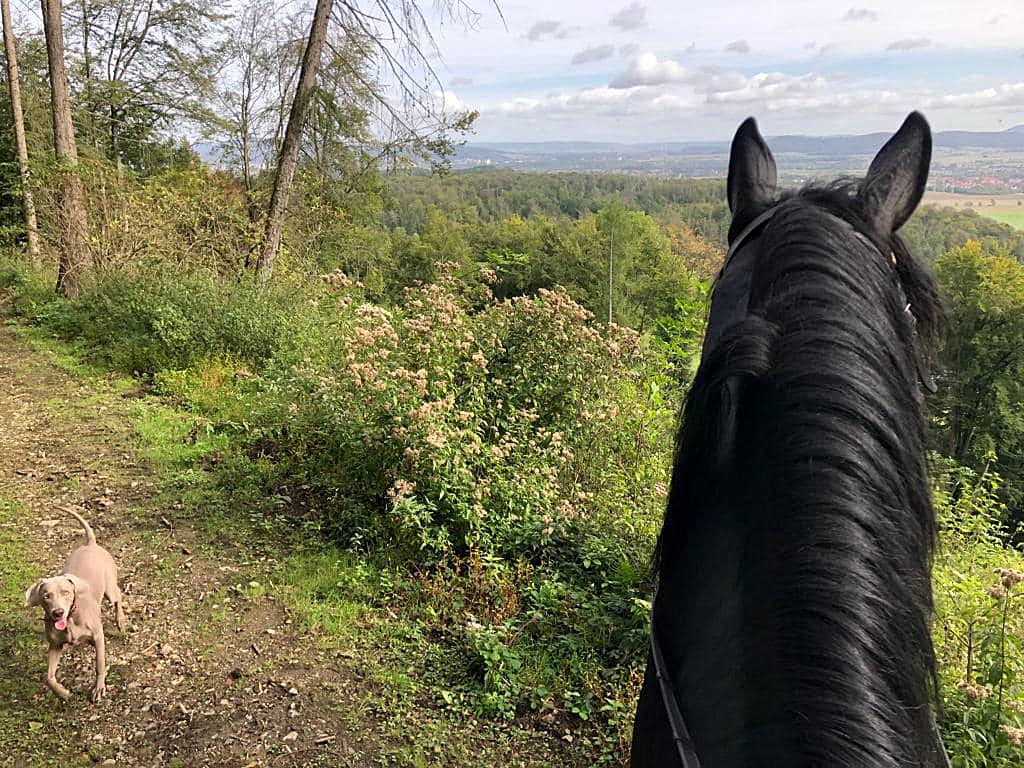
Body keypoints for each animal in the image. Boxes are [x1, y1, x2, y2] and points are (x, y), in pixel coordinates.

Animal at [24, 512, 126, 704]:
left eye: (66, 592)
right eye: (46, 596)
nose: (58, 613)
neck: (71, 619)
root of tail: (91, 544)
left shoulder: (98, 636)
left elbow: (99, 664)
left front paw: (99, 688)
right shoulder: (55, 645)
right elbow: (48, 677)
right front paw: (63, 693)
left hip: (109, 586)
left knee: (118, 597)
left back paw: (121, 621)